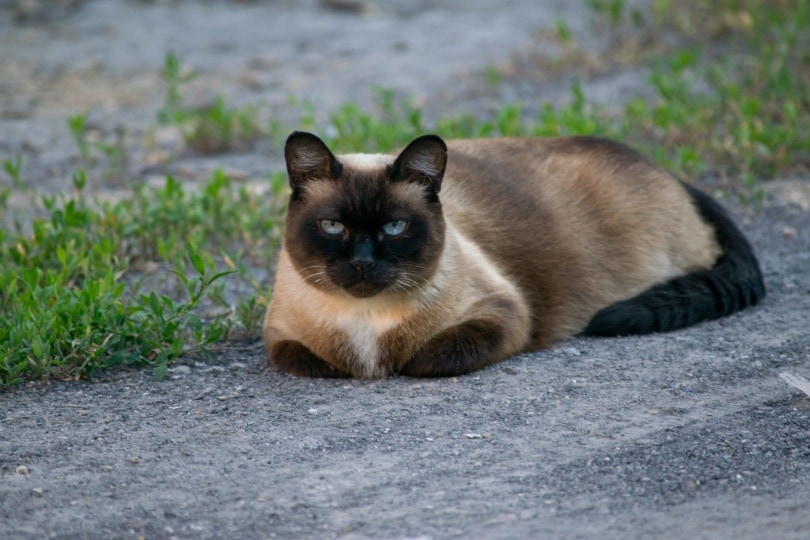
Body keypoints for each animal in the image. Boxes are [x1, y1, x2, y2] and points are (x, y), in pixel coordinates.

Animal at [260, 131, 764, 378]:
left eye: (393, 227)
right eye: (333, 227)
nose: (364, 262)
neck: (365, 321)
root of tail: (669, 172)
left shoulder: (505, 313)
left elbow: (429, 359)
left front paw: (398, 366)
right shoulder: (280, 338)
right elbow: (311, 360)